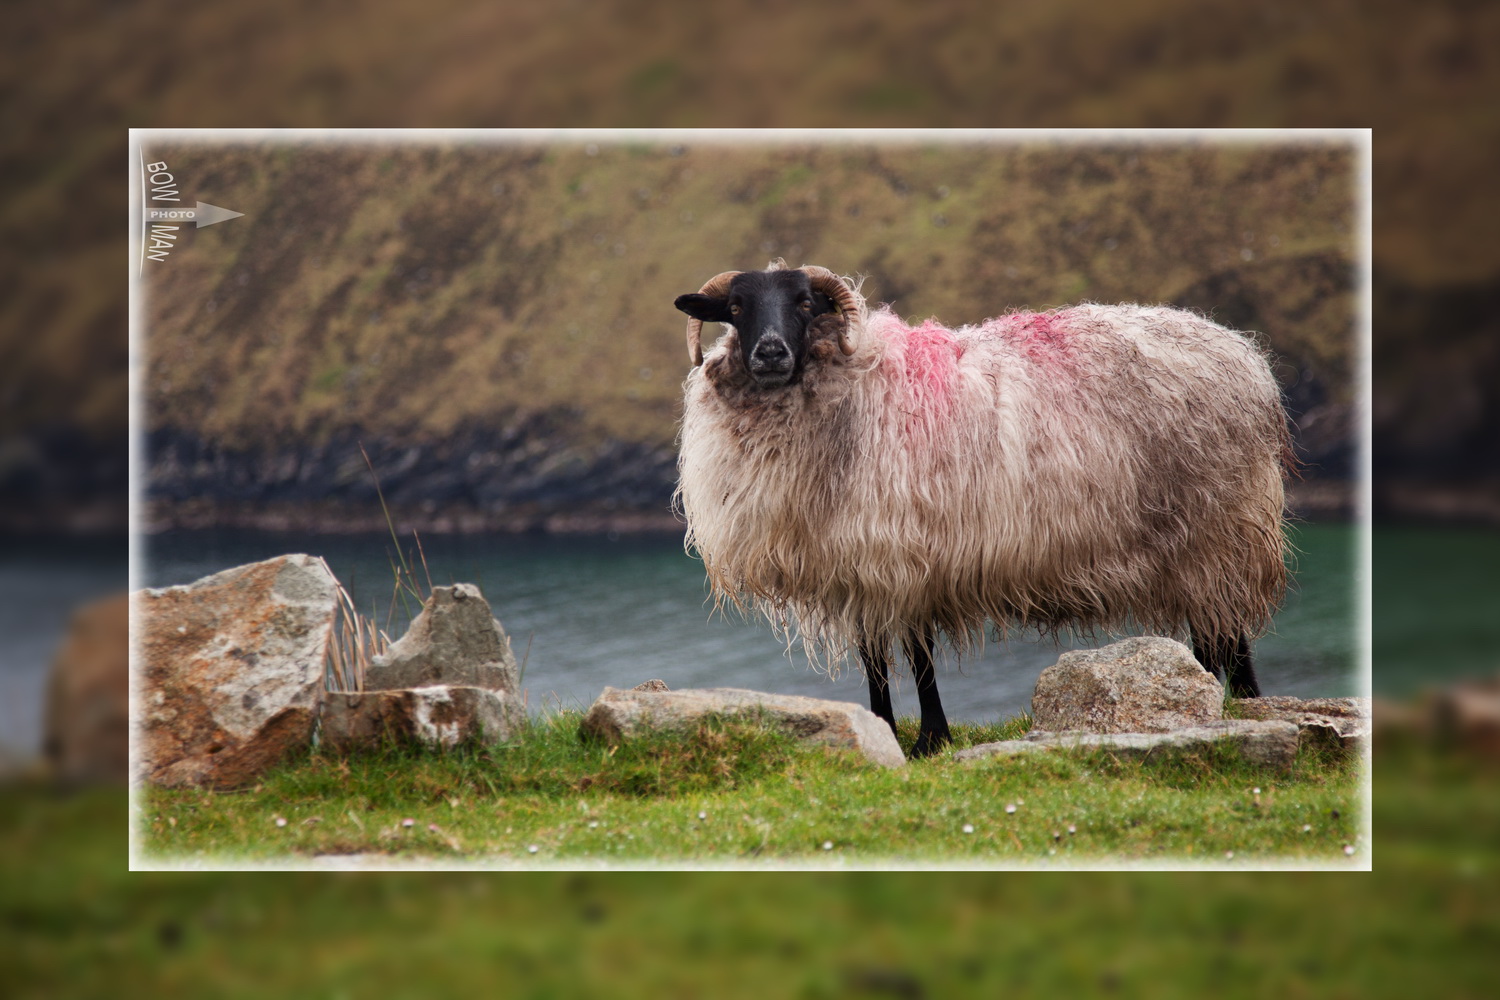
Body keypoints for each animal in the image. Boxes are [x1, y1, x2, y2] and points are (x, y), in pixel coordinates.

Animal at [672, 262, 1290, 755]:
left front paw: (931, 739)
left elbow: (919, 657)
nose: (770, 352)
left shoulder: (905, 558)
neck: (856, 386)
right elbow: (874, 661)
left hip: (1219, 532)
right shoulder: (857, 565)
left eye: (805, 302)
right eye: (736, 308)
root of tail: (1240, 352)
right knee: (1214, 636)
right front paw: (884, 729)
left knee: (1230, 635)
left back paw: (1239, 704)